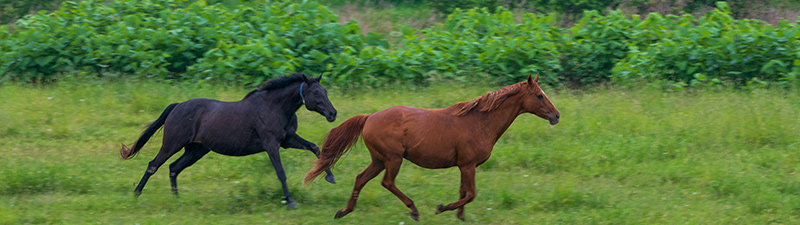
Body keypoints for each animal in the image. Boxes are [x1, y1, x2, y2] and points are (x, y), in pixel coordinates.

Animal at [119, 73, 338, 208]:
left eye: (326, 91)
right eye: (315, 92)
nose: (333, 113)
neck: (275, 107)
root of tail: (178, 105)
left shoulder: (288, 140)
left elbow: (315, 148)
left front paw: (330, 177)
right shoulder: (271, 144)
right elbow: (281, 173)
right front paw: (291, 201)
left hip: (196, 150)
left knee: (174, 167)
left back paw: (177, 199)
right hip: (172, 144)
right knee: (153, 165)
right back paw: (136, 194)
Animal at [304, 74, 560, 220]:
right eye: (539, 96)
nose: (556, 116)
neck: (479, 122)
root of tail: (369, 117)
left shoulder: (464, 166)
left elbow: (463, 192)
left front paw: (460, 217)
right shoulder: (468, 165)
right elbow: (471, 194)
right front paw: (442, 208)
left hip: (378, 160)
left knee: (360, 179)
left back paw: (343, 212)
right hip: (393, 159)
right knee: (387, 182)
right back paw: (414, 210)